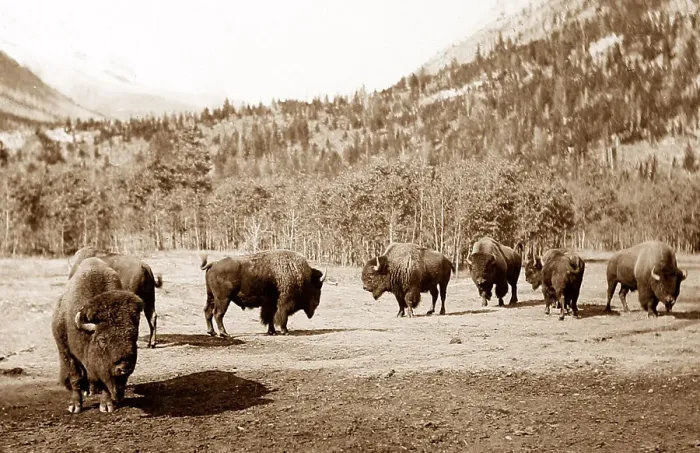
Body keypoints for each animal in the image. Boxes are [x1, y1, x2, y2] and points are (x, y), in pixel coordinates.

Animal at [52, 257, 143, 414]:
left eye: (133, 335)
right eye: (102, 340)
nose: (124, 367)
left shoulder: (106, 371)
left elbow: (105, 383)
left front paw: (106, 405)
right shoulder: (66, 351)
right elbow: (75, 376)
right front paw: (74, 406)